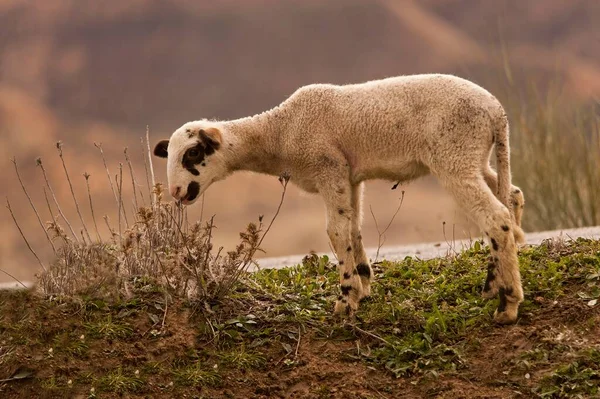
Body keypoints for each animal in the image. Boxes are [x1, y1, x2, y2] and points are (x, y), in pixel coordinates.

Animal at [154, 74, 524, 324]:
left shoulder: (328, 168)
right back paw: (494, 283)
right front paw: (363, 283)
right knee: (512, 196)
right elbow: (353, 228)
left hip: (454, 154)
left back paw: (508, 304)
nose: (176, 192)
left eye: (193, 153)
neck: (279, 133)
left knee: (496, 219)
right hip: (474, 156)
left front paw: (346, 301)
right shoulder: (349, 176)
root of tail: (497, 113)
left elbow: (335, 232)